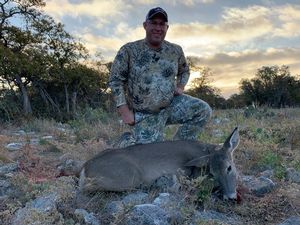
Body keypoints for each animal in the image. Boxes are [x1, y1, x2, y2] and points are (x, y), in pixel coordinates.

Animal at [79, 127, 239, 200]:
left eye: (229, 168)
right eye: (213, 172)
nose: (230, 197)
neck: (205, 150)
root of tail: (85, 167)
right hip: (129, 176)